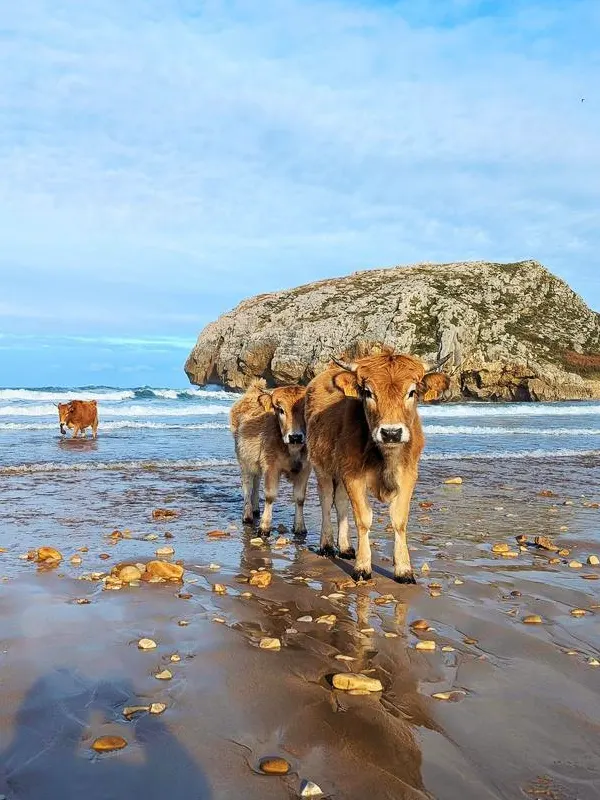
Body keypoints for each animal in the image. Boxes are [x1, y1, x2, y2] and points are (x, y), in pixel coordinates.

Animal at [230, 382, 310, 536]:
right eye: (280, 410)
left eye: (305, 409)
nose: (295, 437)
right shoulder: (271, 466)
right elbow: (270, 495)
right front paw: (264, 527)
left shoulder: (305, 469)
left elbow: (300, 498)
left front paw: (299, 527)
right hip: (244, 460)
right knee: (247, 485)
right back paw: (247, 515)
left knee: (256, 482)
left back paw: (255, 509)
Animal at [304, 350, 450, 583]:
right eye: (367, 392)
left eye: (412, 392)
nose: (391, 432)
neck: (385, 458)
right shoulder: (353, 475)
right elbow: (363, 519)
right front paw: (363, 567)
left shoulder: (408, 474)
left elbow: (399, 520)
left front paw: (404, 569)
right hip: (322, 467)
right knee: (326, 500)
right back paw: (326, 545)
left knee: (341, 502)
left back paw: (345, 547)